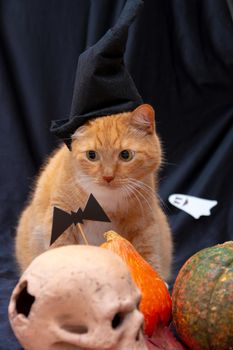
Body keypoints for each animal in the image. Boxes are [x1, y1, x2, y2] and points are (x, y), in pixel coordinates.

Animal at [15, 103, 172, 278]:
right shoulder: (60, 218)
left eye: (125, 155)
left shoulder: (144, 223)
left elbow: (148, 256)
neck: (105, 200)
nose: (108, 177)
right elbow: (61, 249)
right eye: (92, 155)